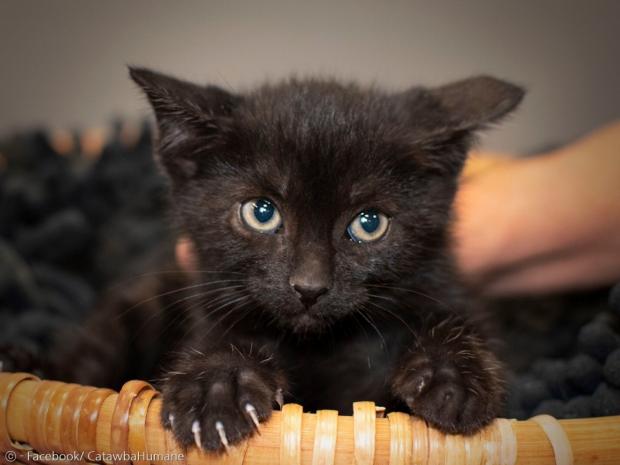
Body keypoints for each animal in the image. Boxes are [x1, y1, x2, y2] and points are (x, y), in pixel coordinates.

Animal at [54, 70, 524, 452]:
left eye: (369, 223)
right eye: (261, 213)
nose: (309, 287)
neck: (322, 346)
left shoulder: (446, 285)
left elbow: (460, 320)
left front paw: (451, 375)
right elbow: (222, 336)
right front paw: (218, 385)